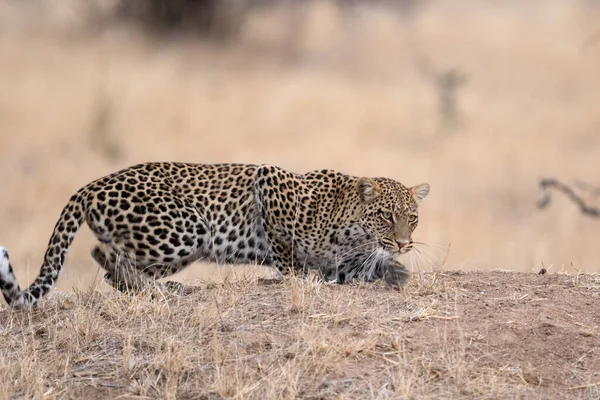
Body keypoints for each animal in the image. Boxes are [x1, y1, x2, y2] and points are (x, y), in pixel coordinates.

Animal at [1, 162, 432, 310]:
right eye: (386, 216)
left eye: (412, 218)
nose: (403, 243)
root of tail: (92, 184)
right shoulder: (269, 182)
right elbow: (287, 256)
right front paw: (293, 277)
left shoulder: (342, 265)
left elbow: (356, 270)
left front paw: (394, 271)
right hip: (187, 228)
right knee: (107, 256)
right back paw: (159, 291)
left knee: (108, 265)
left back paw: (161, 288)